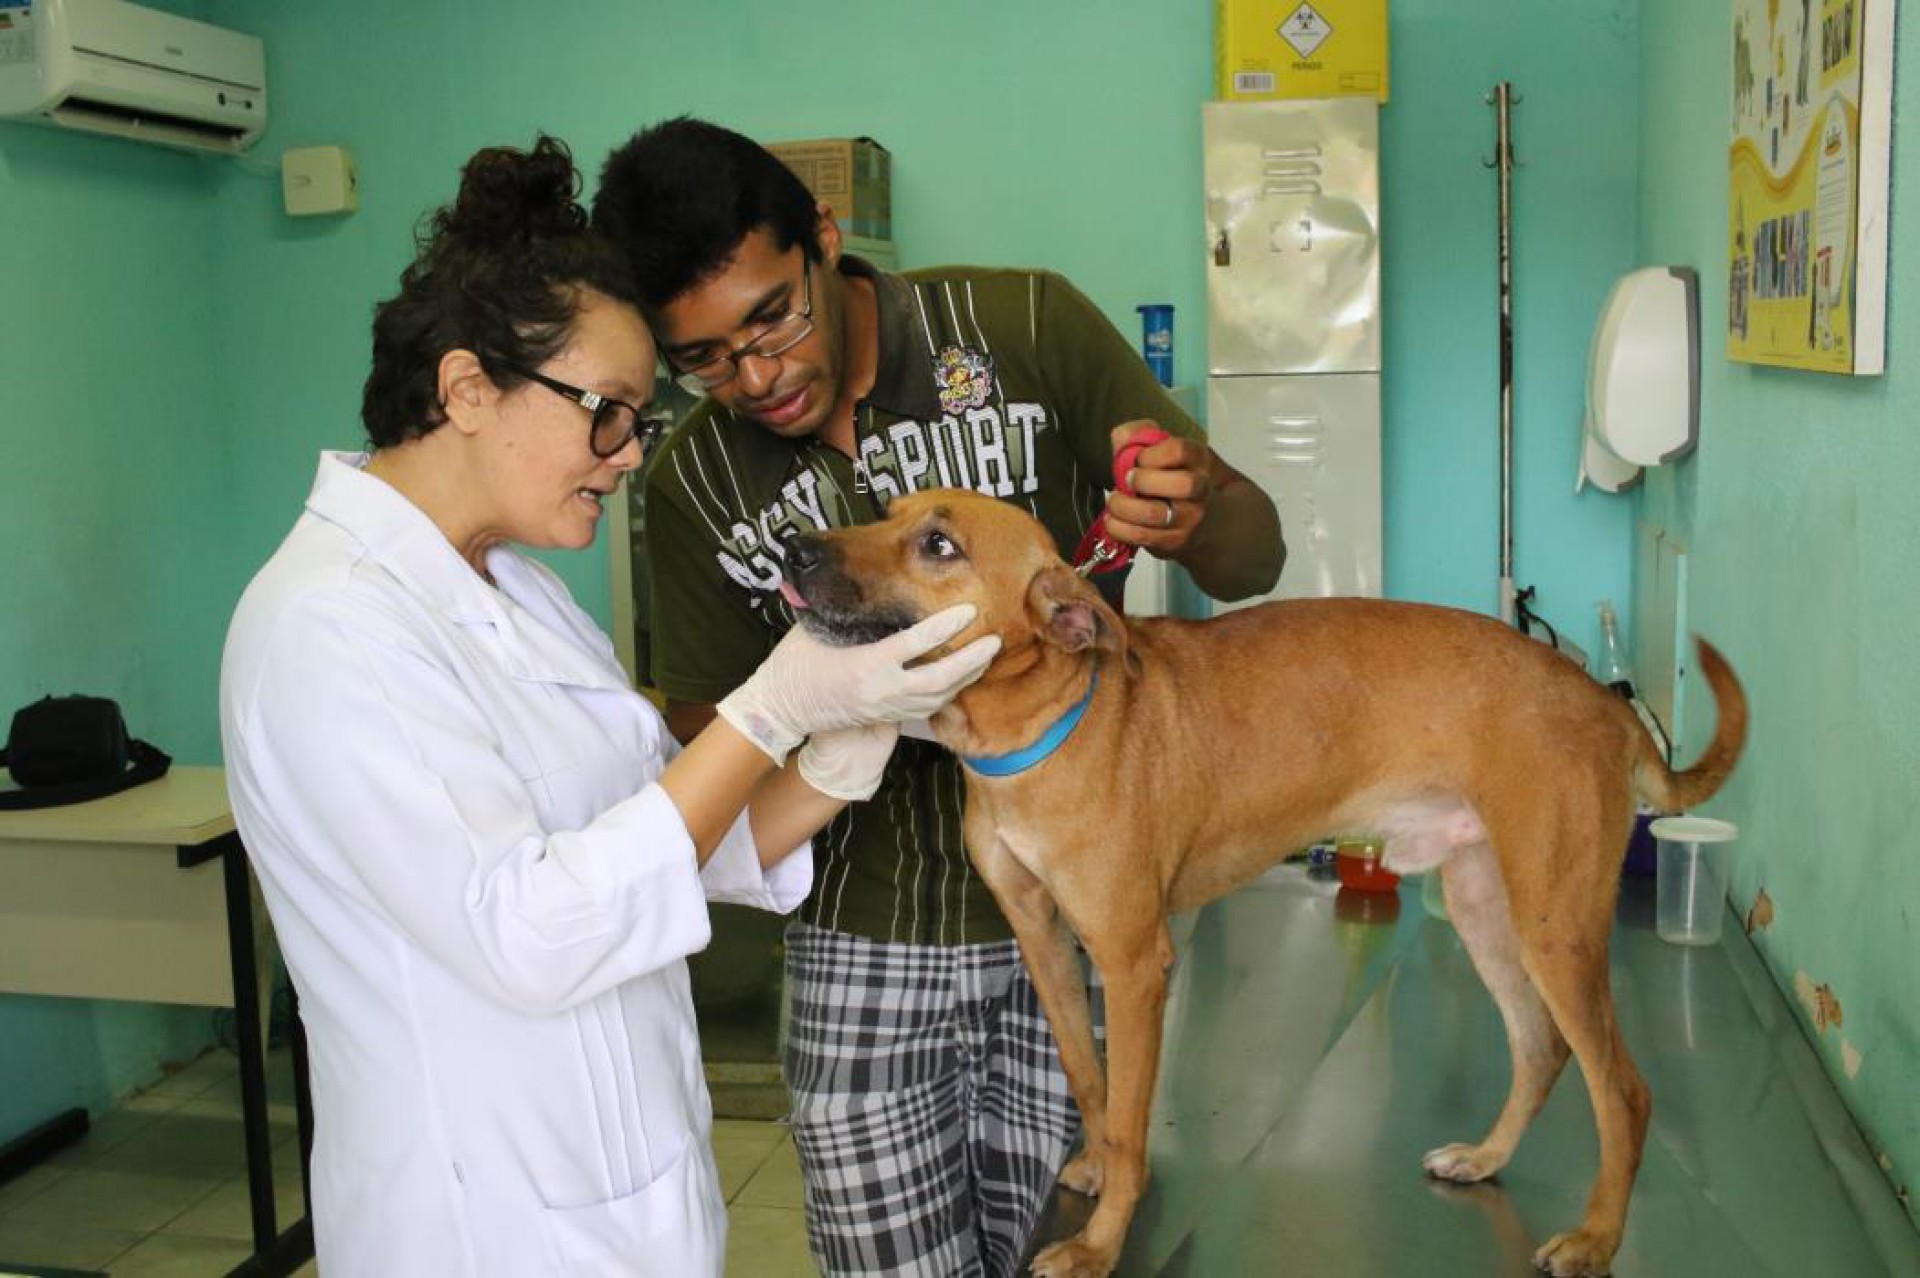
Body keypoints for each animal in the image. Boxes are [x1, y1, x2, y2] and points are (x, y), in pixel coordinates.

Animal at [783, 487, 1758, 1274]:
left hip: (1555, 928)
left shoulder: (1134, 963)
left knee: (1623, 1092)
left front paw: (1102, 1243)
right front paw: (1094, 1172)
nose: (793, 547)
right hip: (1488, 910)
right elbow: (1091, 1083)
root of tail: (1604, 704)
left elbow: (1132, 1119)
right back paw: (1485, 1159)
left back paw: (1595, 1238)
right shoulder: (1045, 940)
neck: (1041, 723)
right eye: (883, 508)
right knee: (1540, 1049)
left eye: (938, 544)